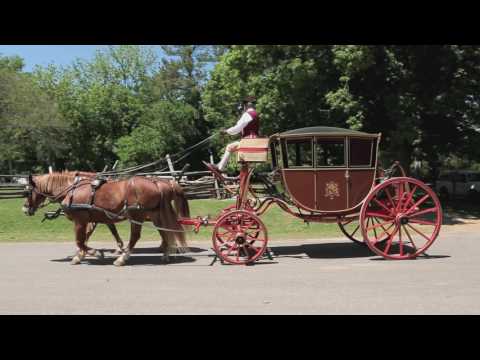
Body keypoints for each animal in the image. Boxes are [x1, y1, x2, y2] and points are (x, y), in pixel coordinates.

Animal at [23, 173, 189, 266]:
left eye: (27, 191)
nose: (24, 209)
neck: (72, 190)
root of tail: (159, 183)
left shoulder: (80, 220)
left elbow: (80, 240)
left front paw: (93, 253)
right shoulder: (94, 220)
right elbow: (84, 238)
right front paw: (80, 255)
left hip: (137, 215)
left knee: (135, 236)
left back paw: (122, 258)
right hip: (155, 215)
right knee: (164, 232)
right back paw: (165, 255)